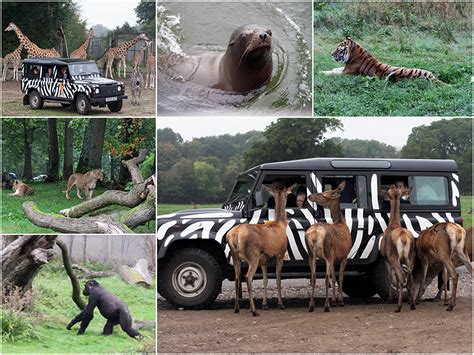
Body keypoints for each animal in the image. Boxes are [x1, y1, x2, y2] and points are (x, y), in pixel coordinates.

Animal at [225, 181, 292, 318]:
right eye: (288, 194)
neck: (281, 225)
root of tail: (235, 235)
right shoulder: (280, 254)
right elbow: (278, 280)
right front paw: (280, 304)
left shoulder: (264, 261)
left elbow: (265, 280)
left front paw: (265, 304)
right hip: (253, 255)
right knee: (248, 277)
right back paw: (254, 310)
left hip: (235, 256)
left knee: (237, 278)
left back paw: (237, 308)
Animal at [304, 182, 352, 312]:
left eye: (323, 194)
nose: (309, 196)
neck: (341, 222)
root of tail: (315, 233)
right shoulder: (344, 255)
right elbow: (340, 278)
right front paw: (339, 301)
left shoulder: (335, 258)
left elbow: (334, 278)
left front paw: (334, 300)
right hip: (328, 252)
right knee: (325, 279)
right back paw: (326, 306)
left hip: (311, 254)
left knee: (313, 277)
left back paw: (311, 306)